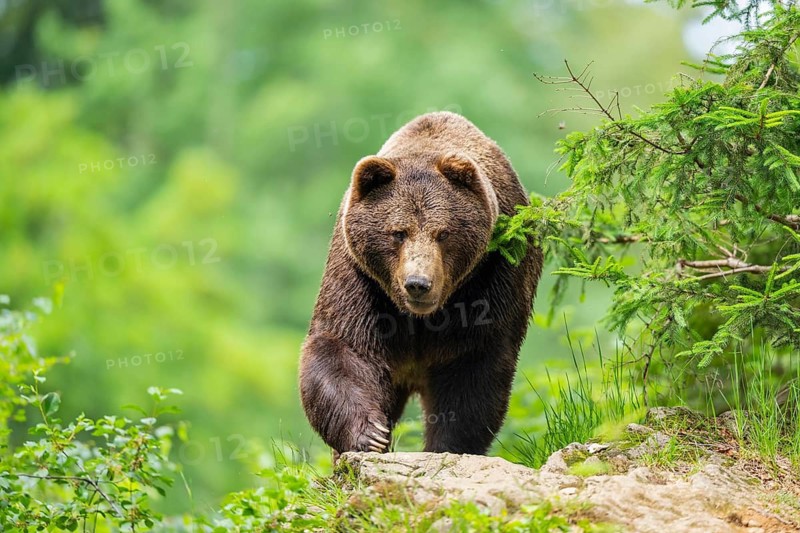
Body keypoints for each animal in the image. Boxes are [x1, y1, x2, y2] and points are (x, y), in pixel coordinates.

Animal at [299, 111, 542, 456]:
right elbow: (344, 347)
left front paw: (447, 446)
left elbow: (473, 369)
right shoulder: (361, 280)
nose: (418, 283)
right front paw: (370, 433)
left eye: (443, 233)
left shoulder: (491, 276)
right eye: (398, 232)